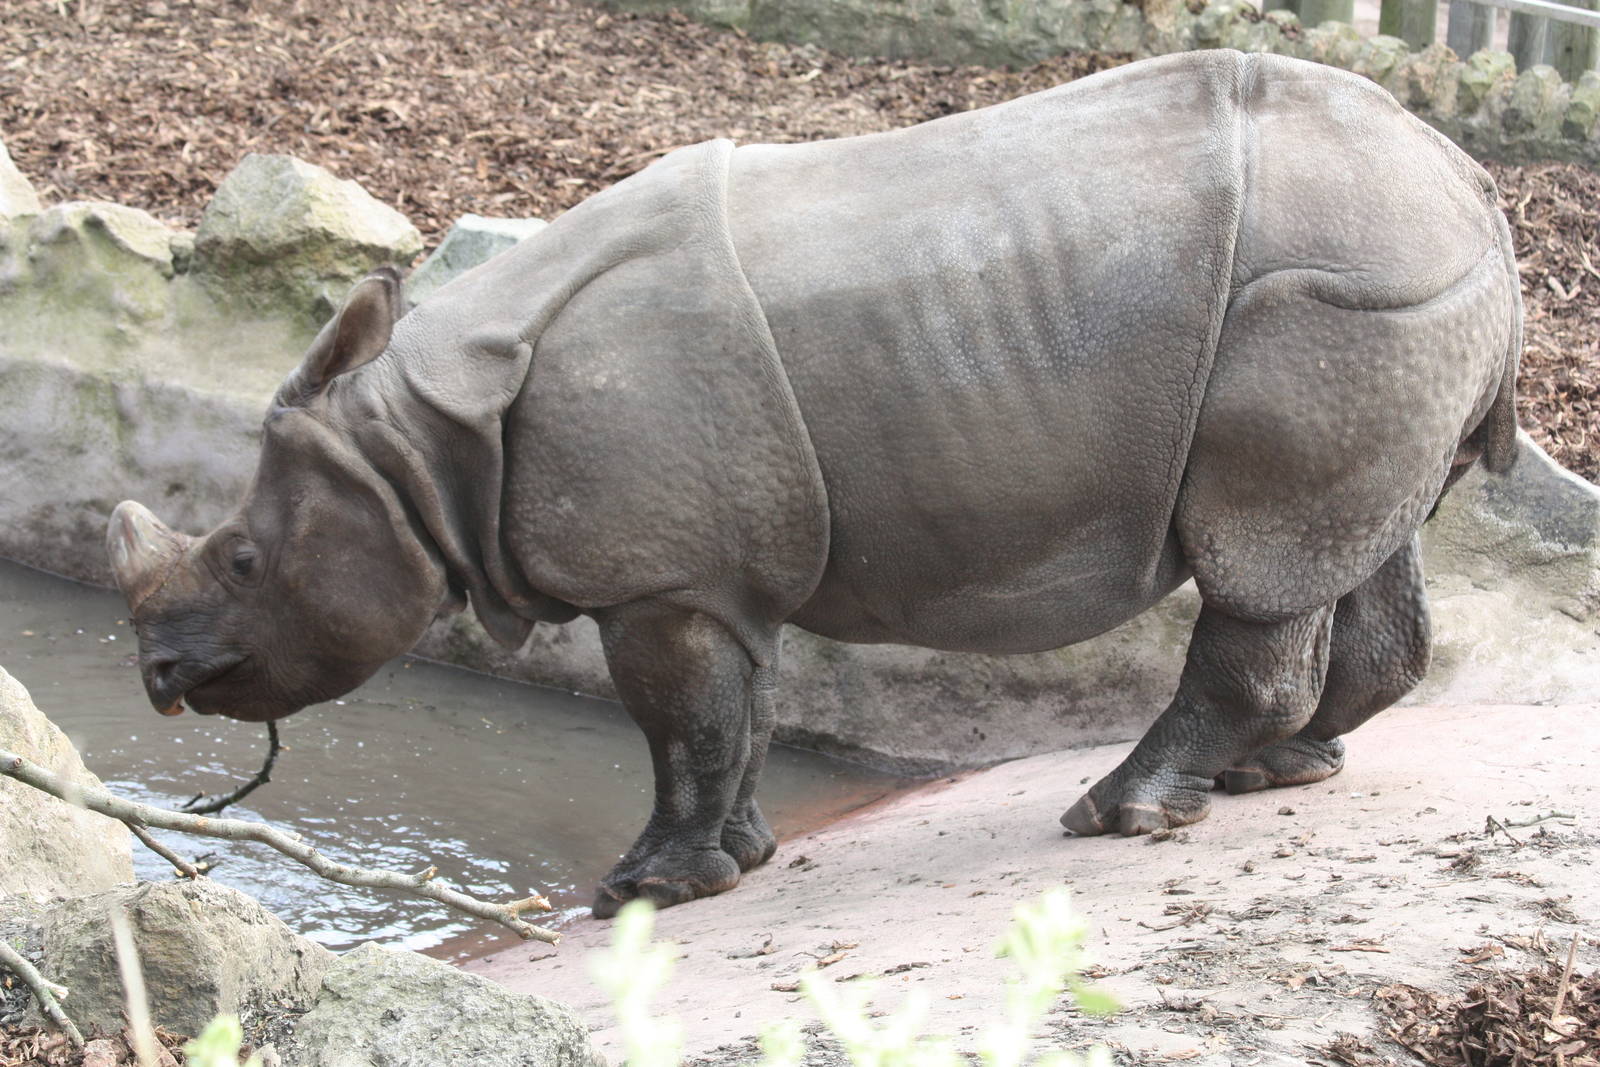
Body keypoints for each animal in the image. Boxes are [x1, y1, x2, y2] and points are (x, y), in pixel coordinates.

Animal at [107, 50, 1520, 917]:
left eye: (244, 560)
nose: (160, 677)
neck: (417, 443)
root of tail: (1469, 183)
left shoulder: (661, 574)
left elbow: (680, 722)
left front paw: (642, 891)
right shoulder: (719, 562)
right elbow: (739, 714)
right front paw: (737, 860)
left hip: (1332, 296)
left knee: (1261, 554)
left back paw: (1120, 811)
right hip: (1387, 300)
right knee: (1355, 540)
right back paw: (1273, 775)